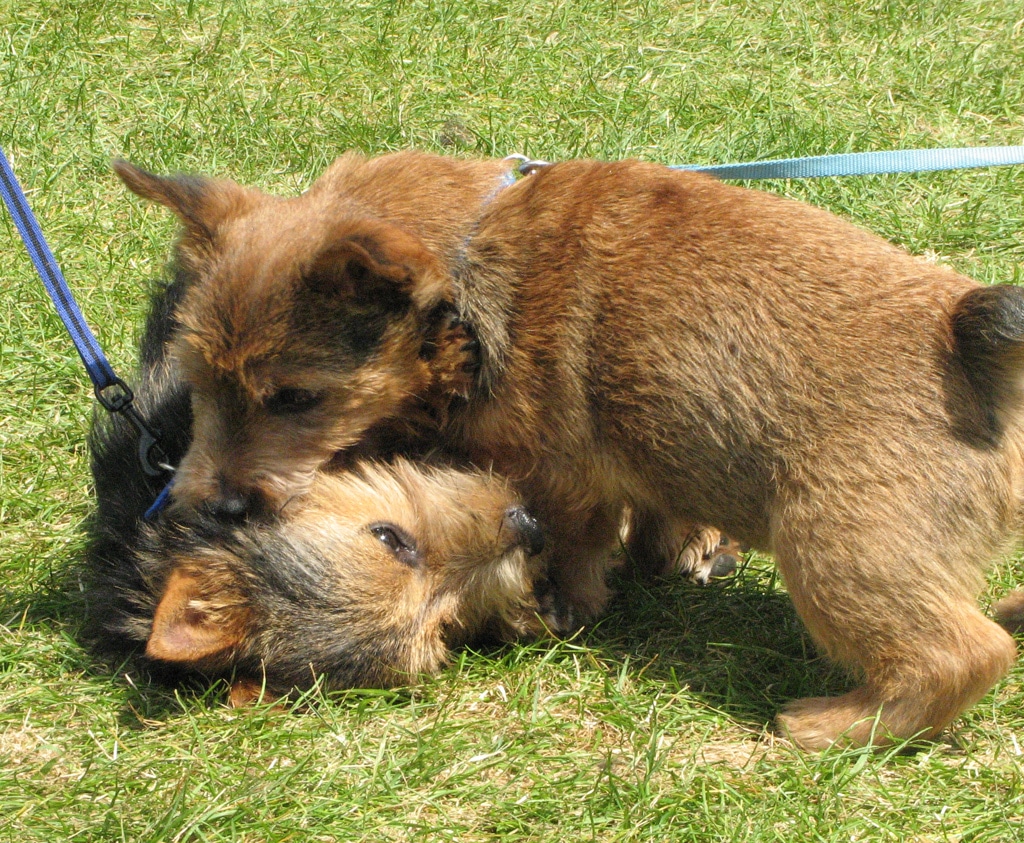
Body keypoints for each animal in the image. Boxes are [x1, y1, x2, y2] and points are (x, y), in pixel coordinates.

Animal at [112, 149, 1024, 745]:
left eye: (296, 398)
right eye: (197, 382)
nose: (203, 505)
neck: (474, 260)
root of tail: (970, 344)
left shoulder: (556, 472)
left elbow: (575, 542)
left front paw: (567, 603)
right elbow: (651, 513)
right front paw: (668, 555)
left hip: (837, 551)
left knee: (963, 653)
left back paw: (832, 725)